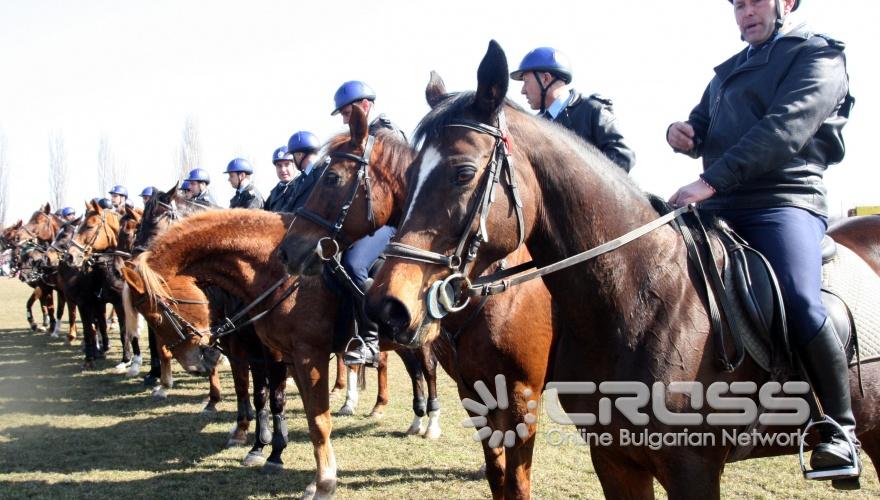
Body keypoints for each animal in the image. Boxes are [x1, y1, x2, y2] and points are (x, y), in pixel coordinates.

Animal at [364, 41, 880, 498]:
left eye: (463, 173)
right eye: (407, 176)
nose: (386, 306)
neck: (640, 297)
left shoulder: (689, 467)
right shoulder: (612, 458)